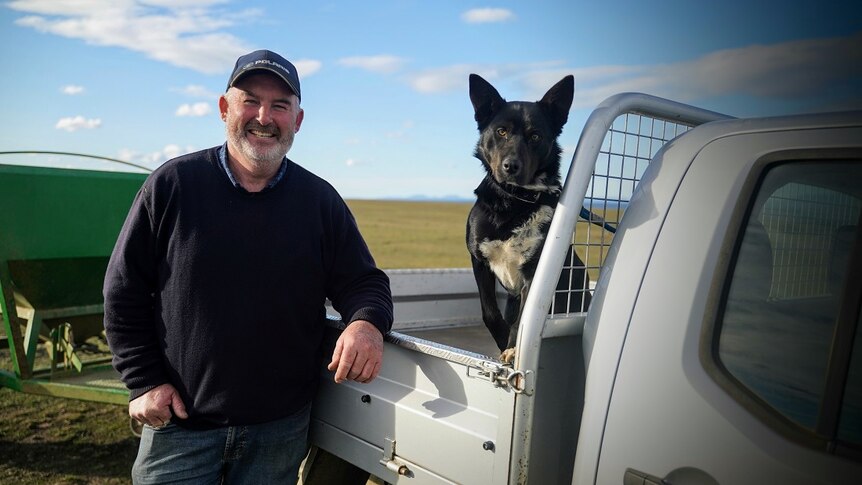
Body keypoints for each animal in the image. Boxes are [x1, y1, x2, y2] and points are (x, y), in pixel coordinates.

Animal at [470, 73, 592, 362]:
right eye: (501, 131)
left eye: (535, 136)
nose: (511, 166)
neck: (515, 202)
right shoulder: (478, 260)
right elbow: (490, 313)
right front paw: (504, 342)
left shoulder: (533, 274)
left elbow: (523, 320)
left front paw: (513, 348)